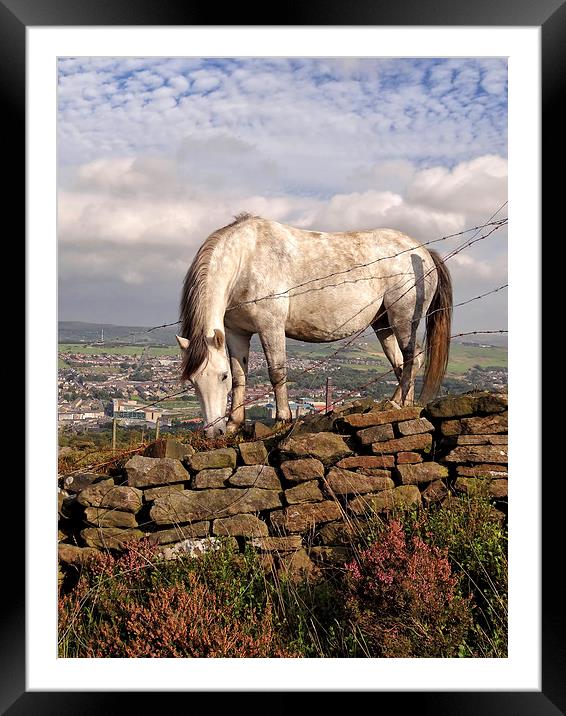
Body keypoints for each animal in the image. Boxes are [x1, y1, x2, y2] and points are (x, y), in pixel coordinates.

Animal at [176, 213, 452, 436]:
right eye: (193, 382)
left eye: (220, 376)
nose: (214, 432)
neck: (246, 260)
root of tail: (424, 252)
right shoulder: (237, 333)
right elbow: (241, 377)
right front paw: (235, 424)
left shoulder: (270, 328)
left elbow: (276, 373)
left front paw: (282, 419)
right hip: (383, 324)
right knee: (401, 363)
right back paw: (404, 404)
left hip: (403, 319)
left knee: (414, 357)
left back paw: (394, 403)